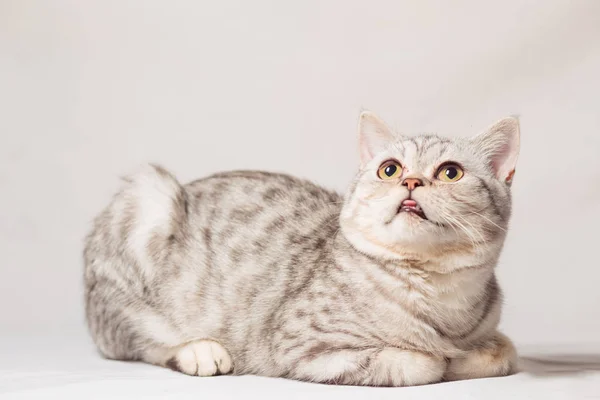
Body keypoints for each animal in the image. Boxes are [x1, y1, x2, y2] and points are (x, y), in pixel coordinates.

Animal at [84, 111, 520, 386]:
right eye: (390, 169)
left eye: (450, 173)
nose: (411, 182)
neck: (438, 294)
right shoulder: (302, 346)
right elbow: (421, 362)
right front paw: (442, 358)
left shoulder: (494, 332)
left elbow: (502, 351)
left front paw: (465, 356)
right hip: (146, 199)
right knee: (138, 338)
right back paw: (198, 351)